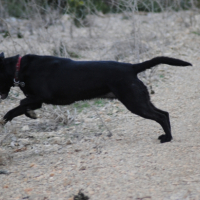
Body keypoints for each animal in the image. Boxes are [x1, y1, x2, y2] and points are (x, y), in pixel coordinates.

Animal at [0, 52, 191, 143]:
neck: (19, 68)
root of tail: (131, 67)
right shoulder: (37, 101)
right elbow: (20, 108)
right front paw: (26, 115)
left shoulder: (40, 96)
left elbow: (19, 104)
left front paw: (8, 118)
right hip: (140, 100)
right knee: (164, 113)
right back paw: (167, 135)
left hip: (135, 102)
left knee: (160, 116)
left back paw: (167, 138)